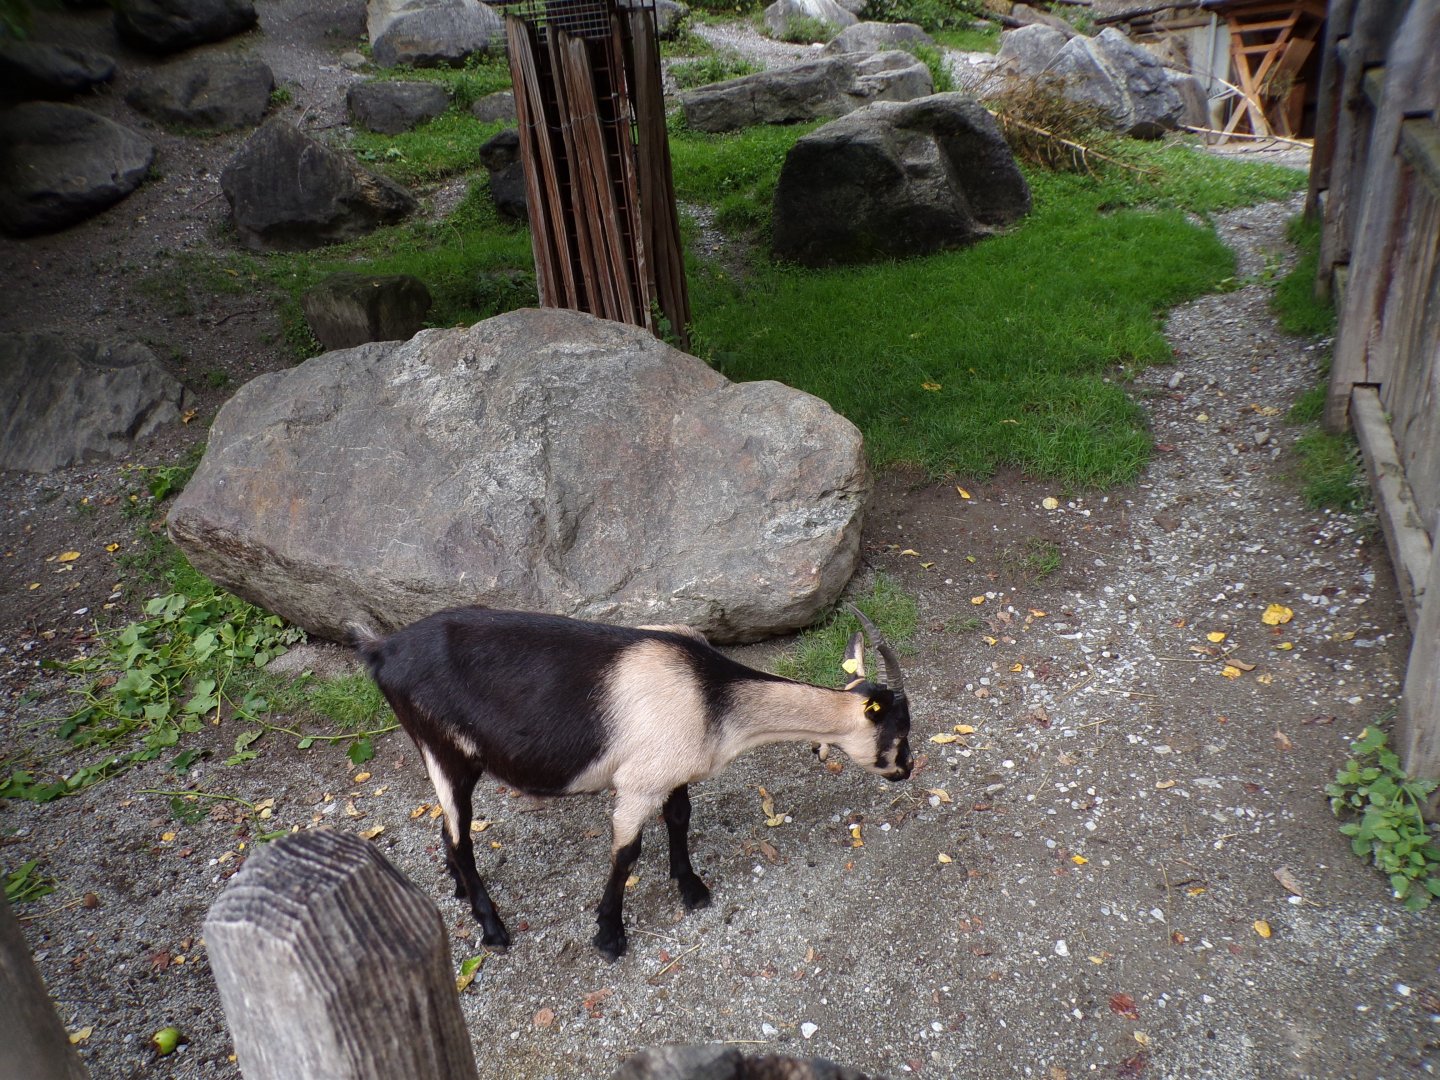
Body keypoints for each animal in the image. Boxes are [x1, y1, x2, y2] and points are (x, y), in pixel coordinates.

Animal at [350, 605, 913, 961]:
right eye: (900, 728)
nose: (907, 769)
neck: (711, 693)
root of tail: (384, 649)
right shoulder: (638, 784)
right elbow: (627, 852)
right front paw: (609, 936)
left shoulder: (672, 771)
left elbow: (680, 819)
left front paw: (692, 889)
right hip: (446, 752)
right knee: (460, 837)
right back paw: (492, 927)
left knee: (449, 831)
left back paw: (459, 890)